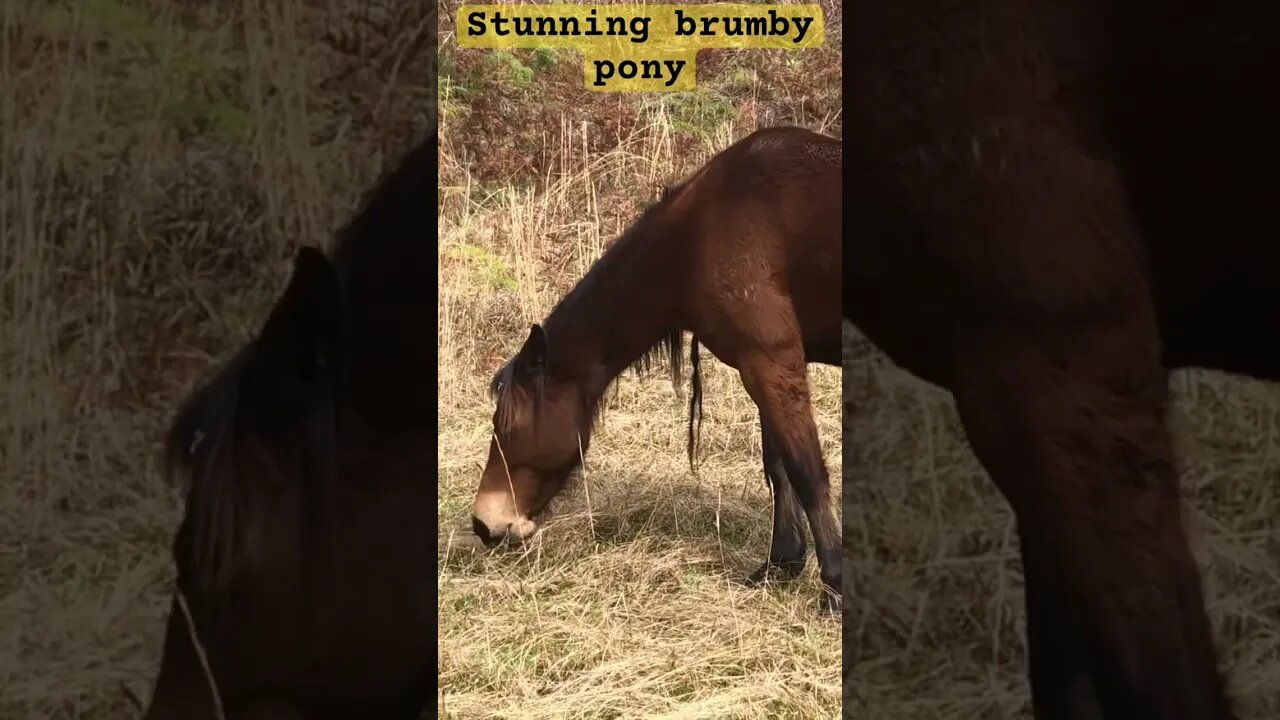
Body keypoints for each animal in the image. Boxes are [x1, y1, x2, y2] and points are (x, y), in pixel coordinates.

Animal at [468, 127, 839, 604]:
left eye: (508, 425)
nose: (485, 523)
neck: (700, 234)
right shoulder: (762, 362)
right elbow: (777, 466)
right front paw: (781, 563)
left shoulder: (771, 359)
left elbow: (806, 471)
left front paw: (835, 585)